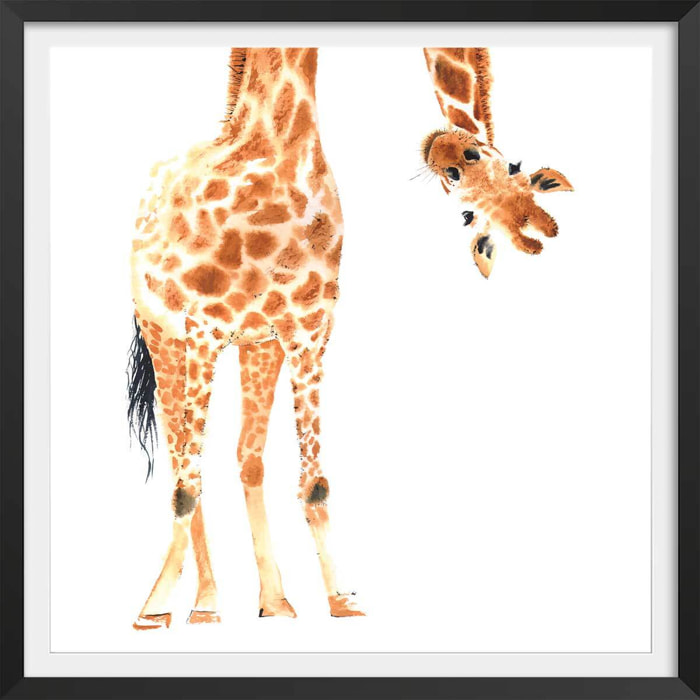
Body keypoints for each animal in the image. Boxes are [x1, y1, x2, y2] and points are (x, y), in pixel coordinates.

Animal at [128, 48, 363, 629]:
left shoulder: (309, 330)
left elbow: (315, 481)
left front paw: (342, 599)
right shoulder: (203, 330)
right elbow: (186, 485)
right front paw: (154, 608)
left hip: (257, 346)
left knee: (245, 455)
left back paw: (273, 600)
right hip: (164, 338)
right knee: (180, 460)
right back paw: (202, 602)